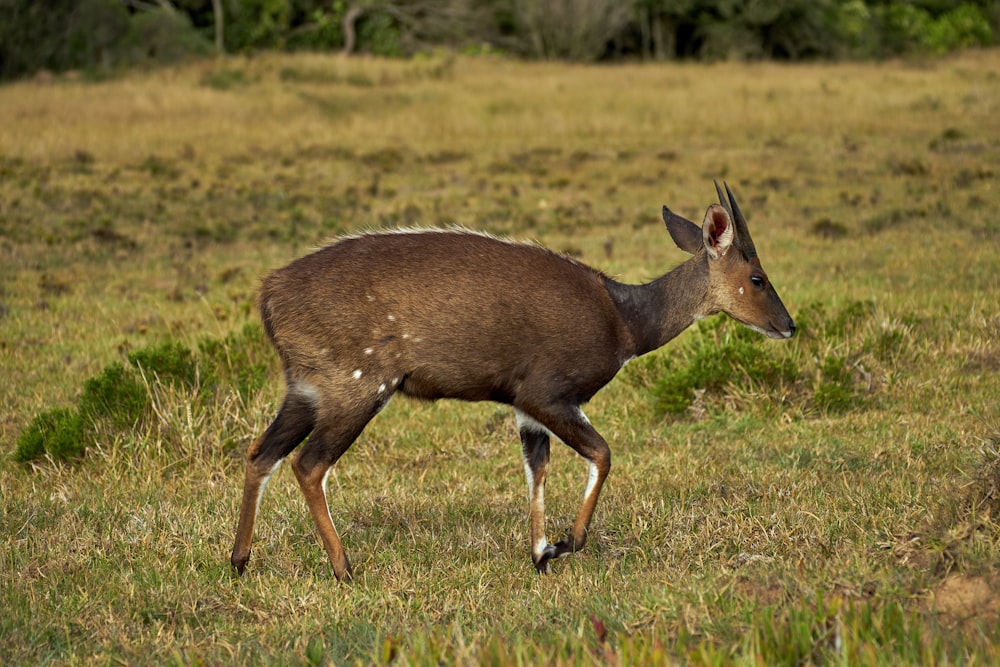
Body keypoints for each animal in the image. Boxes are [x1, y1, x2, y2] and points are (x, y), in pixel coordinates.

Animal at [230, 181, 792, 580]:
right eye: (758, 278)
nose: (789, 325)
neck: (626, 318)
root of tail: (268, 295)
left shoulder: (525, 409)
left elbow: (536, 468)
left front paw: (539, 553)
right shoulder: (546, 393)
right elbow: (602, 454)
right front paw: (564, 545)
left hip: (306, 389)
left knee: (261, 452)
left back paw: (239, 561)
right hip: (359, 386)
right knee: (307, 464)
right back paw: (345, 569)